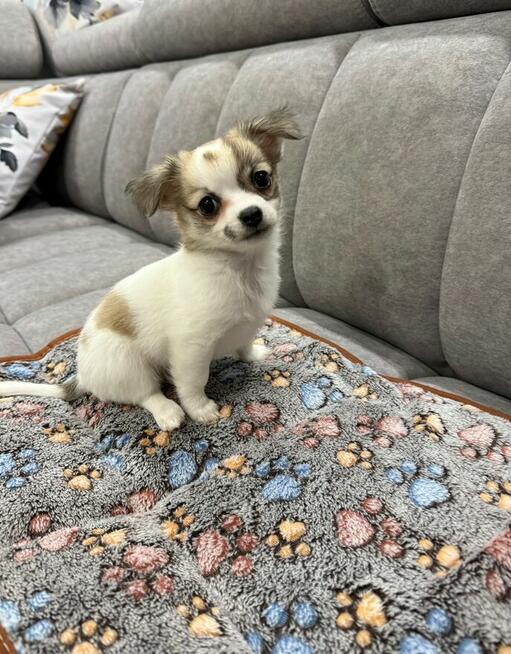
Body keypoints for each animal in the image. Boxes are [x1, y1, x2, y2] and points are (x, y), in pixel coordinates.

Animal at [0, 108, 301, 430]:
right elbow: (194, 383)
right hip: (130, 367)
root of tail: (81, 375)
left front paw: (253, 354)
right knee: (146, 394)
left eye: (261, 178)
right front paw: (201, 410)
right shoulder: (191, 350)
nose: (251, 214)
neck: (239, 269)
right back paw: (168, 411)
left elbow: (243, 343)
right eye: (208, 205)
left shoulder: (248, 323)